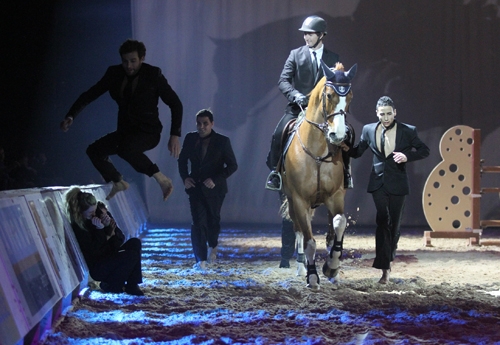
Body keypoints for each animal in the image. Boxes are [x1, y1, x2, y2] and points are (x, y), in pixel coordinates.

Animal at [282, 60, 356, 288]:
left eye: (350, 97)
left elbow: (339, 223)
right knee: (299, 230)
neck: (317, 152)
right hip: (291, 200)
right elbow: (309, 241)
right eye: (329, 95)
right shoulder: (299, 200)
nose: (339, 135)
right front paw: (312, 276)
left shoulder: (336, 195)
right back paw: (302, 267)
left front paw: (331, 267)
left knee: (332, 231)